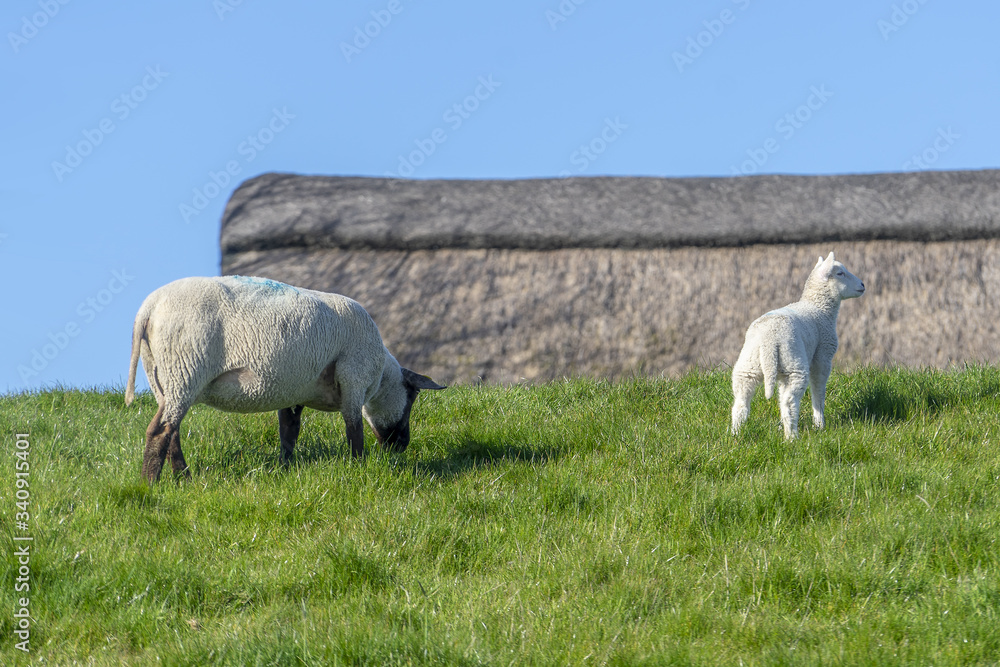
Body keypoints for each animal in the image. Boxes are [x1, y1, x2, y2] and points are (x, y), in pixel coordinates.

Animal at [124, 275, 445, 482]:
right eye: (412, 397)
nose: (402, 445)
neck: (380, 377)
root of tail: (148, 308)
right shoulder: (353, 377)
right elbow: (353, 427)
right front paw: (358, 466)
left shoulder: (294, 391)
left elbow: (289, 431)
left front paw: (285, 468)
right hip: (185, 369)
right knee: (160, 431)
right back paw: (149, 484)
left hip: (162, 377)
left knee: (172, 431)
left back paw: (184, 479)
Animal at [730, 252, 865, 439]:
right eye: (840, 273)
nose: (862, 285)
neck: (818, 307)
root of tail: (768, 341)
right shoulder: (822, 356)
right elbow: (818, 390)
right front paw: (819, 424)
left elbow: (780, 394)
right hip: (794, 365)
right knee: (790, 402)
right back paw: (792, 437)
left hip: (749, 365)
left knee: (741, 402)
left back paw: (736, 435)